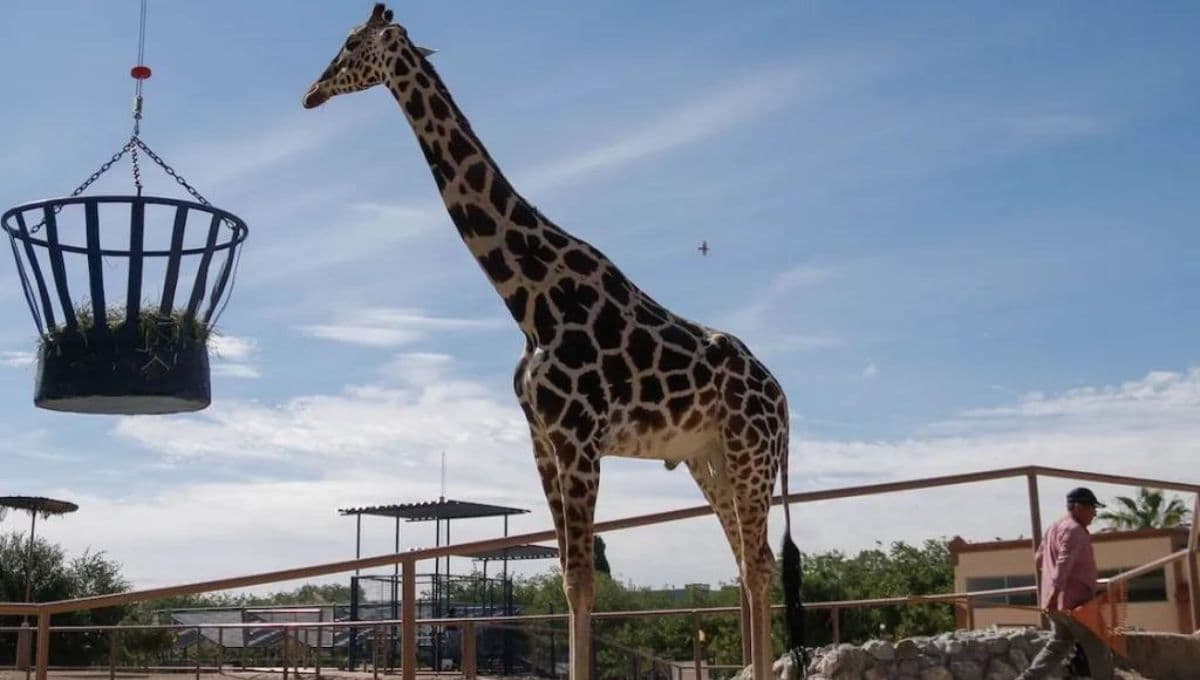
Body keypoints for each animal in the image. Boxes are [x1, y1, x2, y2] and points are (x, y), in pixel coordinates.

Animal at [302, 5, 806, 678]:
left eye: (352, 42)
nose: (311, 93)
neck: (529, 299)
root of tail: (783, 400)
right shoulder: (542, 441)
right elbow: (569, 578)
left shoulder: (578, 439)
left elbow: (584, 582)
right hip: (712, 457)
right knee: (749, 562)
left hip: (751, 453)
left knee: (758, 564)